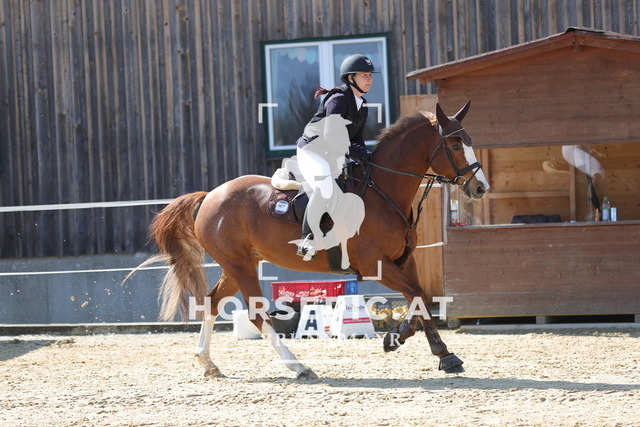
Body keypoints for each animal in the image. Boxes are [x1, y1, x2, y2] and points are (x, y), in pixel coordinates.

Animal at [132, 101, 489, 380]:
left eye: (470, 140)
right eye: (454, 145)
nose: (480, 187)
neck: (383, 192)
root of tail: (210, 196)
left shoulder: (405, 260)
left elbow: (421, 298)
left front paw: (419, 346)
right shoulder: (375, 265)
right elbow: (416, 295)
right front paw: (421, 347)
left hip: (236, 265)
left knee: (212, 303)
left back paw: (208, 363)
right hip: (240, 266)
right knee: (257, 315)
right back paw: (299, 367)